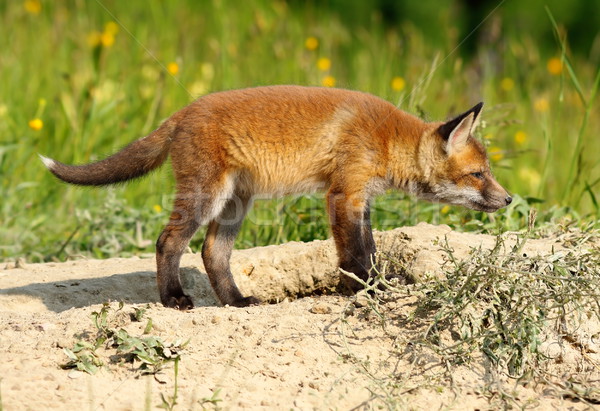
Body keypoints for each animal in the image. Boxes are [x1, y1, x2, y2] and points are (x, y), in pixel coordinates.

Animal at [41, 87, 510, 312]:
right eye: (478, 174)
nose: (508, 200)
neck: (386, 138)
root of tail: (182, 112)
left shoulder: (361, 199)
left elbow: (369, 249)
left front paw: (370, 285)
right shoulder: (342, 194)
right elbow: (356, 255)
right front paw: (367, 289)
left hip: (234, 205)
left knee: (212, 253)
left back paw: (235, 301)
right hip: (205, 198)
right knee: (167, 242)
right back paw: (173, 298)